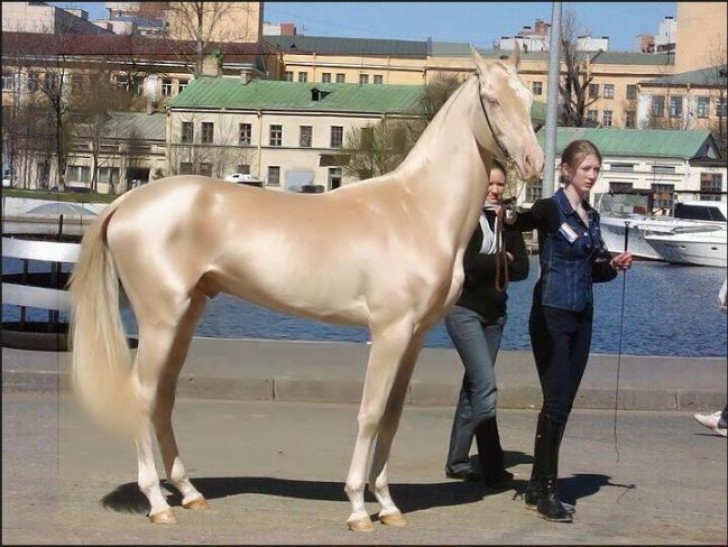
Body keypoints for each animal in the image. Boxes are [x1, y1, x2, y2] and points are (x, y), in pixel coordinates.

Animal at [69, 47, 544, 532]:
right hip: (160, 319)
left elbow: (392, 416)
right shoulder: (389, 331)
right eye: (493, 99)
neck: (417, 209)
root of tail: (127, 202)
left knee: (163, 397)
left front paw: (388, 505)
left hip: (185, 317)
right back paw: (158, 503)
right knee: (142, 396)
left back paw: (189, 493)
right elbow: (370, 414)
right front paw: (358, 508)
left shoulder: (414, 337)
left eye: (527, 98)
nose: (534, 162)